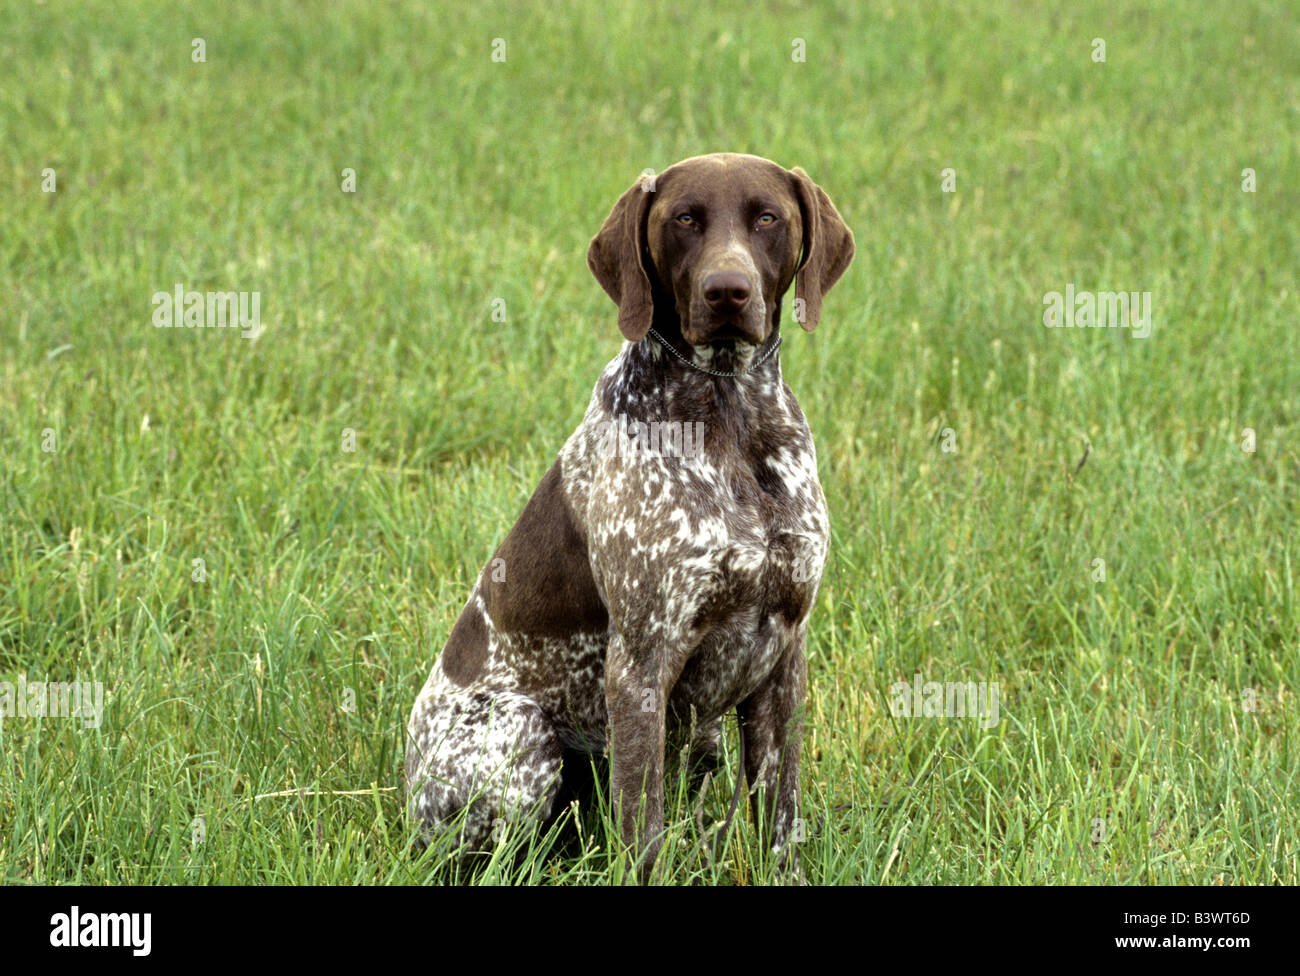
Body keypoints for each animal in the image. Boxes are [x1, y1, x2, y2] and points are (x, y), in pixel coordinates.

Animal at [403, 152, 852, 878]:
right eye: (684, 220)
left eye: (767, 218)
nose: (728, 291)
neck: (730, 414)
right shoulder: (641, 666)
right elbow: (644, 834)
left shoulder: (784, 656)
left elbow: (780, 817)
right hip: (523, 735)